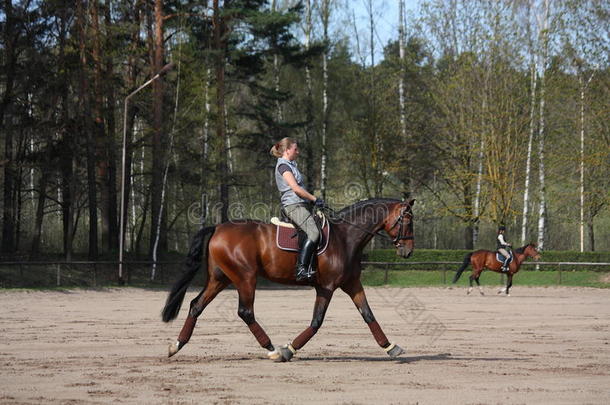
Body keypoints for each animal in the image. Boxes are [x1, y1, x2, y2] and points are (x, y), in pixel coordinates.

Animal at [160, 197, 414, 362]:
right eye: (407, 220)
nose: (408, 251)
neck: (345, 237)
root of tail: (218, 228)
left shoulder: (352, 284)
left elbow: (368, 315)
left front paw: (390, 347)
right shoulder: (326, 287)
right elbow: (316, 322)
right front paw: (289, 350)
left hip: (220, 279)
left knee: (196, 305)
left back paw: (176, 345)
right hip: (245, 278)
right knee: (245, 312)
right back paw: (272, 349)